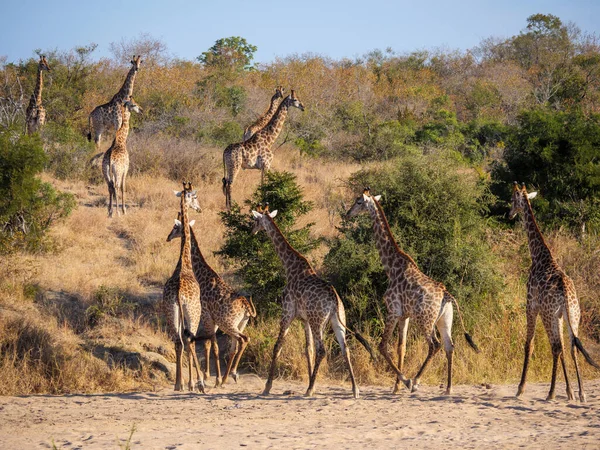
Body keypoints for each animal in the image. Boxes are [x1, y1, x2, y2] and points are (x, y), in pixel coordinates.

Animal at [165, 214, 256, 386]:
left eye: (174, 227)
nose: (168, 237)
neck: (200, 272)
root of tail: (246, 306)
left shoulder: (206, 315)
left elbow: (210, 344)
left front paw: (210, 377)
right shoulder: (212, 320)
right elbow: (211, 344)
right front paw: (210, 376)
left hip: (227, 323)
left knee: (243, 339)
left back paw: (229, 375)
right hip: (240, 323)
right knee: (236, 344)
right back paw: (229, 375)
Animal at [251, 204, 372, 398]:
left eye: (255, 219)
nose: (252, 230)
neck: (289, 267)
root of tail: (334, 299)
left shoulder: (287, 313)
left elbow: (278, 346)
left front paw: (267, 387)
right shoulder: (305, 319)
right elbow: (308, 349)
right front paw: (311, 384)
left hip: (318, 320)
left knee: (323, 349)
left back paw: (309, 390)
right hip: (337, 320)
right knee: (344, 348)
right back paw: (355, 390)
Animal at [344, 188, 480, 396]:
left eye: (359, 201)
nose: (348, 213)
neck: (391, 267)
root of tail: (446, 296)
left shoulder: (393, 310)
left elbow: (383, 346)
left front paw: (405, 381)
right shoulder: (404, 315)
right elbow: (401, 347)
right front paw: (396, 387)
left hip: (425, 320)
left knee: (434, 345)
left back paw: (416, 381)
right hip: (444, 320)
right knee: (449, 346)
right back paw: (448, 388)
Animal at [508, 181, 596, 402]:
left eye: (513, 199)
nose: (509, 214)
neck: (538, 255)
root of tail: (565, 291)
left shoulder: (531, 306)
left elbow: (529, 344)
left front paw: (520, 388)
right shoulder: (560, 315)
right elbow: (565, 348)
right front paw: (570, 391)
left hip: (548, 314)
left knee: (556, 347)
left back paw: (551, 392)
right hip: (573, 314)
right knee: (571, 346)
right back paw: (581, 393)